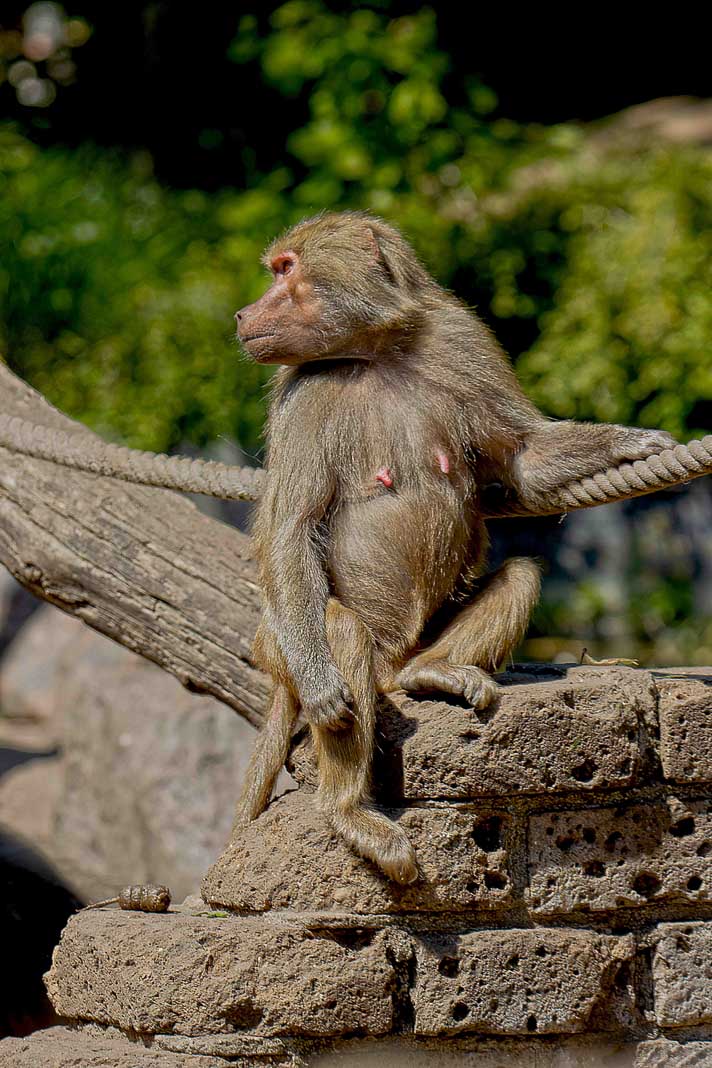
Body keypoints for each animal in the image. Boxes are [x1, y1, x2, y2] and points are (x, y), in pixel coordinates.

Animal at [231, 211, 675, 884]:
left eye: (286, 270)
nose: (242, 314)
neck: (376, 352)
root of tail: (390, 665)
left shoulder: (457, 339)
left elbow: (522, 455)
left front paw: (631, 444)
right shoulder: (300, 397)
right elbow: (291, 529)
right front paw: (324, 690)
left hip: (409, 649)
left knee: (518, 575)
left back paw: (433, 673)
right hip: (280, 643)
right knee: (339, 630)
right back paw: (348, 812)